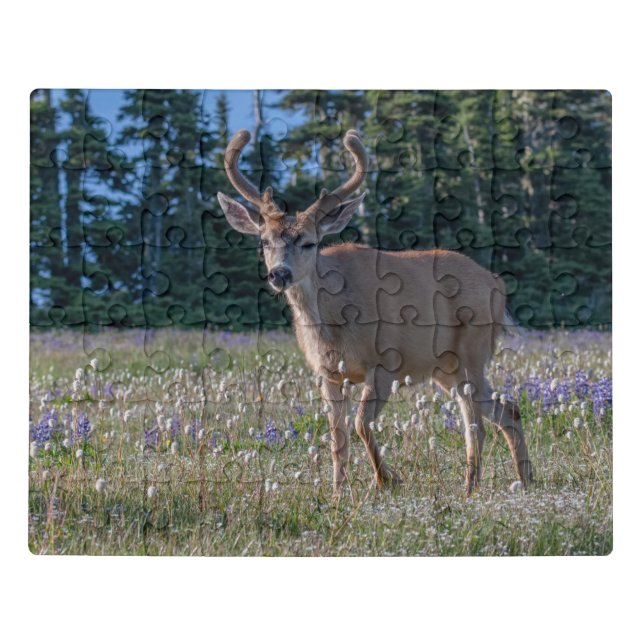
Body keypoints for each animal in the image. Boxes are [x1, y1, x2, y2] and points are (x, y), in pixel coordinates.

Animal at [217, 128, 533, 497]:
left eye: (309, 242)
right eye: (265, 241)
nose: (279, 274)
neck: (333, 323)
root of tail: (496, 282)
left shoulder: (386, 362)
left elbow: (360, 424)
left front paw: (386, 479)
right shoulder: (327, 373)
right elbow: (337, 438)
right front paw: (338, 492)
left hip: (472, 349)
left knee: (482, 419)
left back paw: (482, 485)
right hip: (446, 368)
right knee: (501, 412)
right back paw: (512, 480)